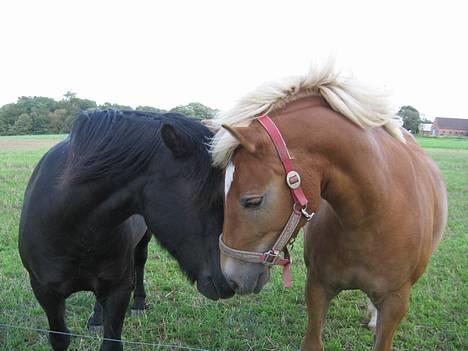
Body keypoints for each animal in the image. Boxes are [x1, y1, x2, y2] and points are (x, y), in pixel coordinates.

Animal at [19, 110, 233, 351]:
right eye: (213, 198)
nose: (230, 280)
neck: (71, 225)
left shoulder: (117, 290)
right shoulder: (45, 292)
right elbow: (59, 338)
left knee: (139, 262)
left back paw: (138, 303)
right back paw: (96, 319)